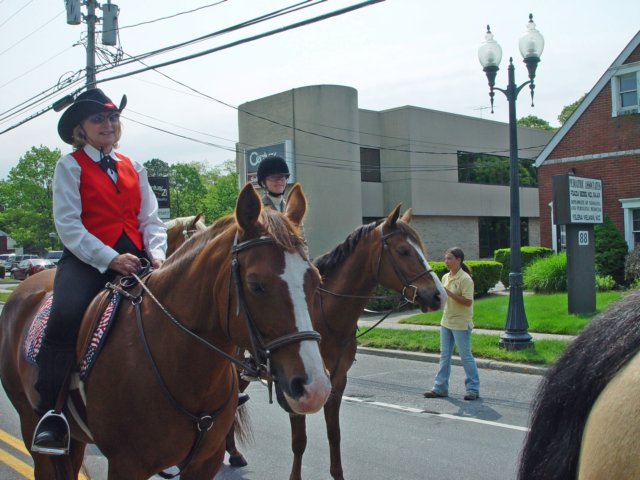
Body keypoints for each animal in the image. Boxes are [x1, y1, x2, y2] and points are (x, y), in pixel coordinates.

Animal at [0, 182, 330, 478]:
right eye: (255, 284)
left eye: (315, 280)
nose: (315, 389)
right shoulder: (126, 465)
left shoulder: (204, 463)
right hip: (31, 423)